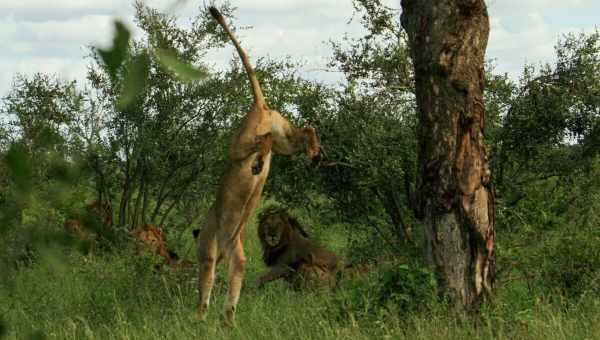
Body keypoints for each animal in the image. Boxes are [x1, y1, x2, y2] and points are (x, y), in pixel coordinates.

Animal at [195, 7, 322, 326]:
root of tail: (259, 105)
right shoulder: (235, 252)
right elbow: (235, 282)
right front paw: (227, 318)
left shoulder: (213, 249)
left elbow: (206, 283)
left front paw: (201, 316)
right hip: (285, 138)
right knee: (305, 129)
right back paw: (314, 154)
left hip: (239, 145)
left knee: (260, 143)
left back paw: (258, 166)